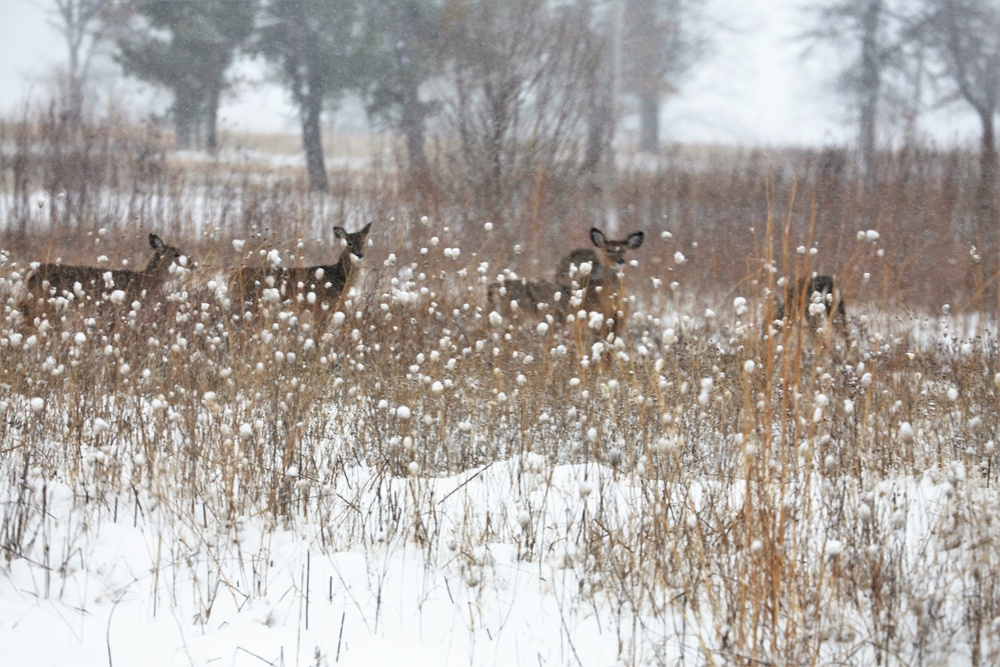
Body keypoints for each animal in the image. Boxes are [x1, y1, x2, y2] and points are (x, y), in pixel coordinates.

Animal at [229, 223, 374, 330]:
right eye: (349, 243)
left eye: (363, 242)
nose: (359, 254)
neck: (339, 276)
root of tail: (233, 276)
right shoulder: (319, 305)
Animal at [486, 227, 644, 340]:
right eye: (608, 250)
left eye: (624, 250)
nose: (620, 261)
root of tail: (493, 286)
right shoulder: (594, 325)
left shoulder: (616, 326)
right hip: (517, 319)